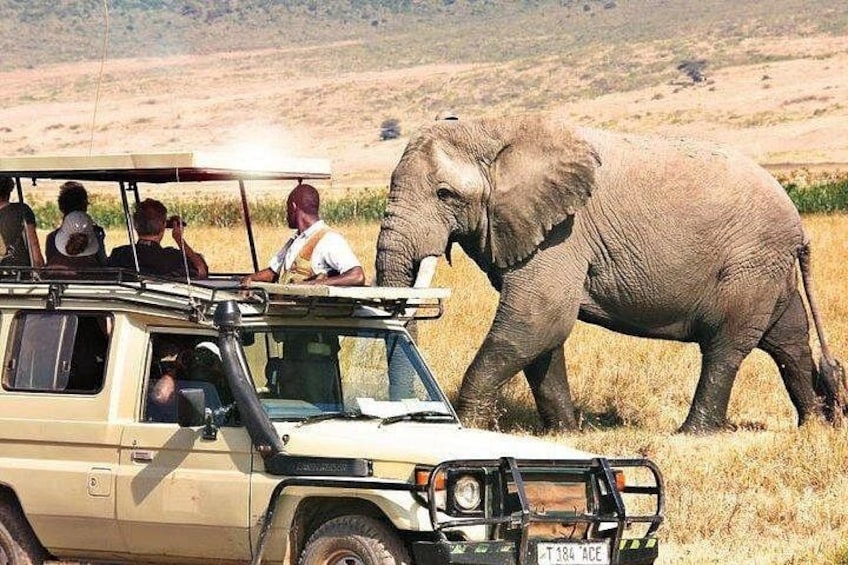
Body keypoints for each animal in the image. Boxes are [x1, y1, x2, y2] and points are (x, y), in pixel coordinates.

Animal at [375, 114, 846, 433]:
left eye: (445, 194)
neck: (495, 130)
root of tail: (799, 225)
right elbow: (542, 335)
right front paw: (565, 434)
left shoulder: (563, 233)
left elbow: (537, 319)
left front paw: (470, 428)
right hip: (768, 269)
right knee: (788, 342)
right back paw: (815, 426)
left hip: (750, 263)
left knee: (726, 346)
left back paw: (693, 434)